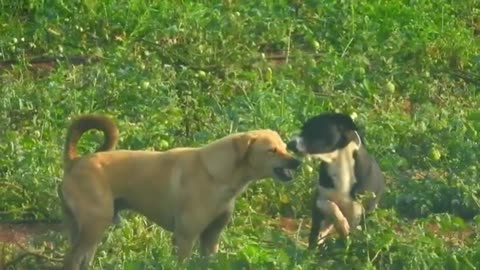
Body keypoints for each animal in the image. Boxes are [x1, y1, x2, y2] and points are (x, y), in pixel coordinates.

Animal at [57, 114, 300, 270]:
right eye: (271, 150)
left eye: (284, 147)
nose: (297, 161)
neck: (217, 174)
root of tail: (75, 162)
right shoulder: (185, 237)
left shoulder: (211, 238)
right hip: (95, 225)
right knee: (72, 261)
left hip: (87, 229)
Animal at [286, 112, 384, 249]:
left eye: (314, 130)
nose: (289, 144)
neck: (340, 164)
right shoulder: (320, 198)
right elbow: (330, 206)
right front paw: (341, 224)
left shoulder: (356, 209)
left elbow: (349, 232)